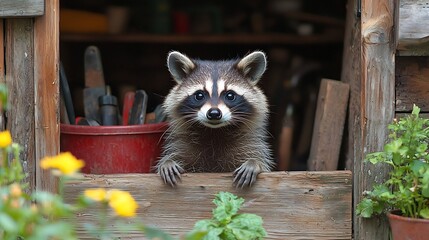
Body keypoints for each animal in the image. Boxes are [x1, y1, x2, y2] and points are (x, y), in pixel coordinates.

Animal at [155, 51, 272, 188]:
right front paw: (168, 162)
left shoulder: (249, 144)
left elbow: (260, 160)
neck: (214, 131)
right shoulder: (181, 145)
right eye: (199, 95)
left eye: (230, 95)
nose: (214, 113)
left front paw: (254, 163)